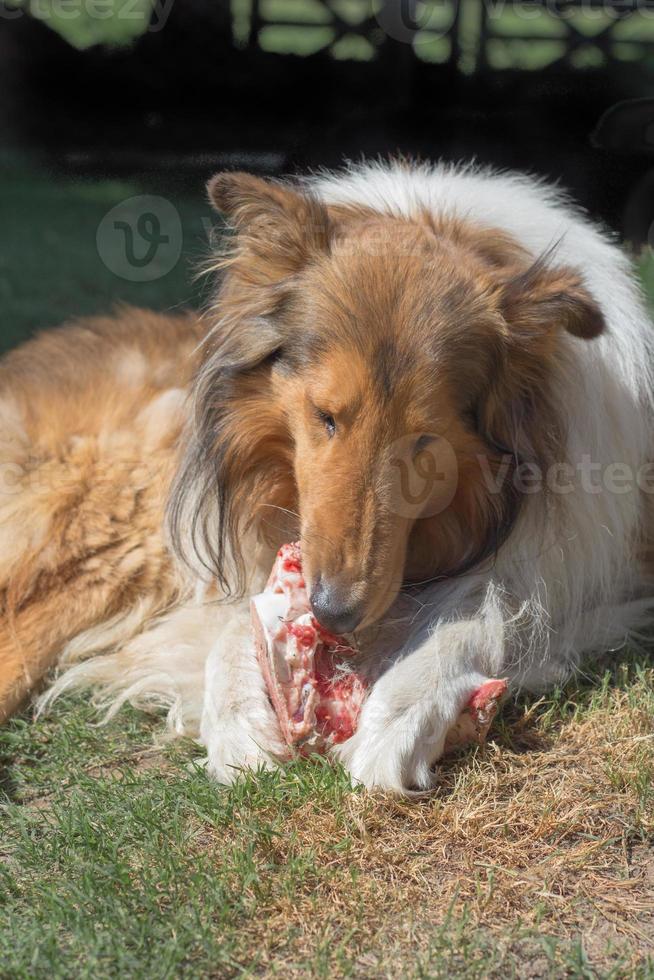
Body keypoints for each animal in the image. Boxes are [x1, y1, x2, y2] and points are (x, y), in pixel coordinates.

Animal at [1, 159, 654, 788]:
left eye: (425, 439)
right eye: (325, 416)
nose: (334, 614)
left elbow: (480, 618)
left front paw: (400, 719)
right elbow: (232, 632)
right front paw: (240, 727)